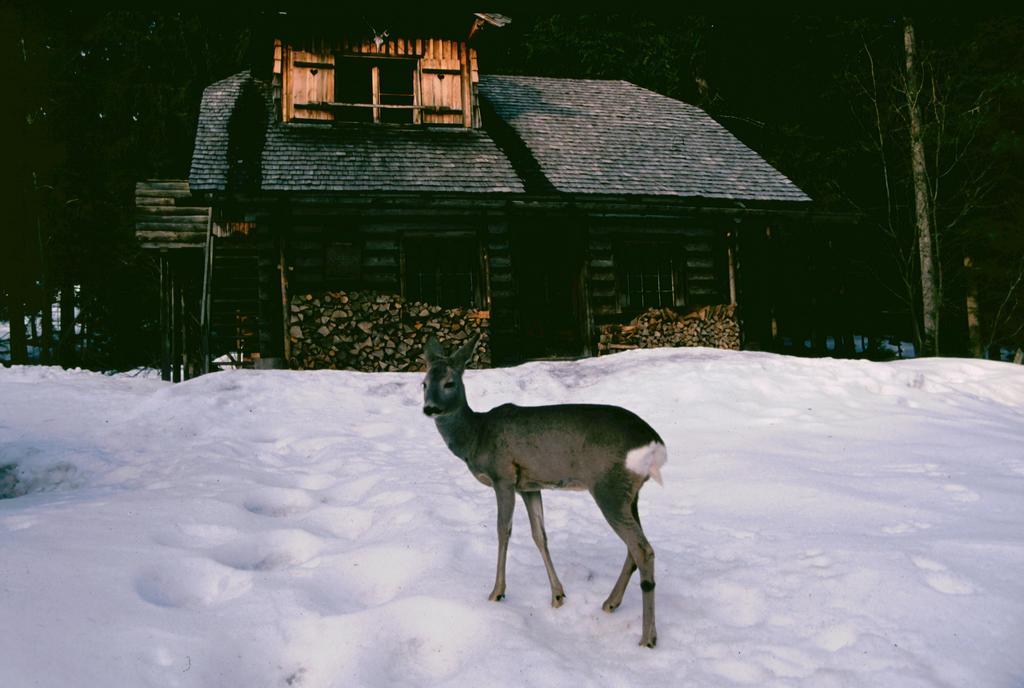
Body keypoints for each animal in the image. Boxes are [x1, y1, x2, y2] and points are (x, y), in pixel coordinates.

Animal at [421, 333, 667, 647]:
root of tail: (656, 442)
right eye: (423, 383)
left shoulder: (503, 476)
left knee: (643, 549)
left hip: (609, 487)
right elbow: (540, 535)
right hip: (629, 494)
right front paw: (558, 595)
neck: (476, 436)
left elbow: (503, 531)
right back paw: (610, 603)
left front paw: (497, 592)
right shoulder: (529, 485)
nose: (429, 408)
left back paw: (647, 637)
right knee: (634, 547)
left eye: (449, 383)